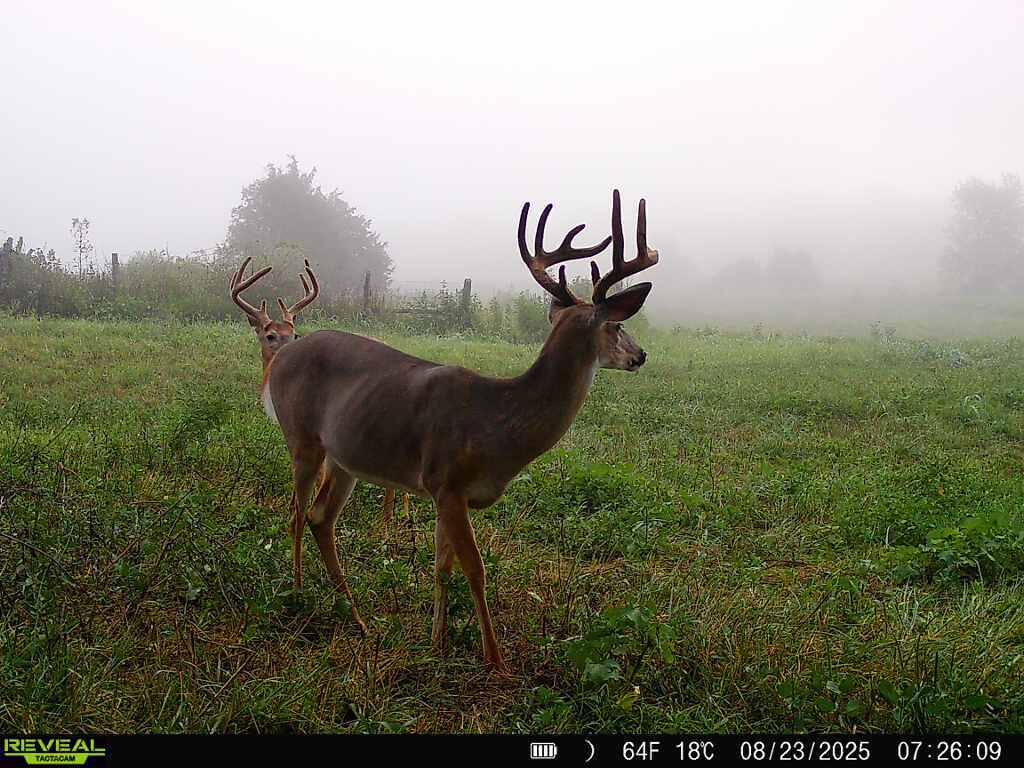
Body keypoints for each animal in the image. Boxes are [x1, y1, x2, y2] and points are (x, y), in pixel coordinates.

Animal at [251, 189, 657, 671]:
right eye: (617, 325)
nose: (641, 355)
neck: (498, 423)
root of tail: (279, 359)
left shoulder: (443, 493)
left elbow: (441, 566)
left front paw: (437, 643)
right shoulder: (446, 481)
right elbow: (475, 570)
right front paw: (496, 661)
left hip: (345, 458)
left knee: (319, 517)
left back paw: (357, 619)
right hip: (301, 439)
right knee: (296, 512)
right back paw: (299, 593)